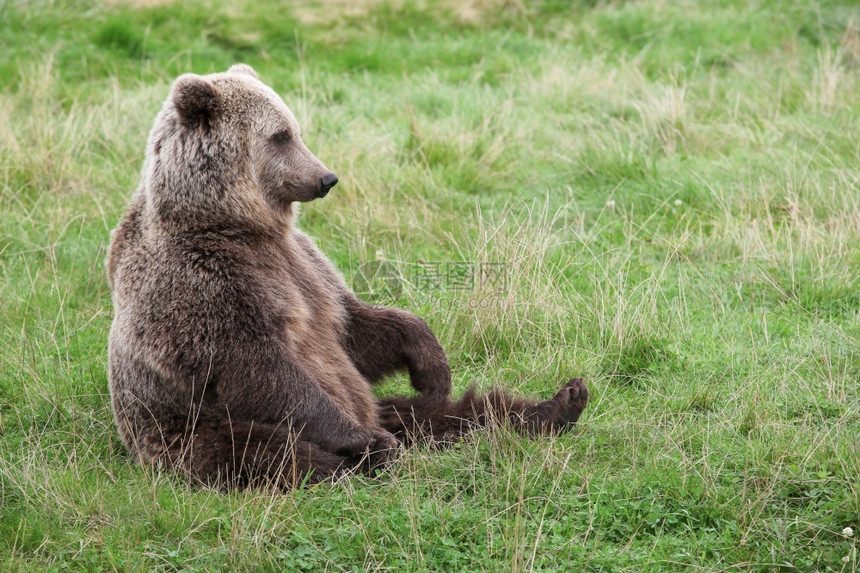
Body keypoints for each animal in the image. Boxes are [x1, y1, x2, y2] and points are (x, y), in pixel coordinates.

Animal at [107, 65, 588, 490]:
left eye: (296, 130)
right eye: (279, 135)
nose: (326, 177)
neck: (234, 224)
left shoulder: (305, 265)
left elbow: (352, 328)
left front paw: (432, 365)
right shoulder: (202, 282)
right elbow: (260, 368)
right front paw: (363, 441)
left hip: (386, 407)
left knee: (456, 411)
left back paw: (559, 403)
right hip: (183, 433)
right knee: (267, 451)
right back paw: (367, 456)